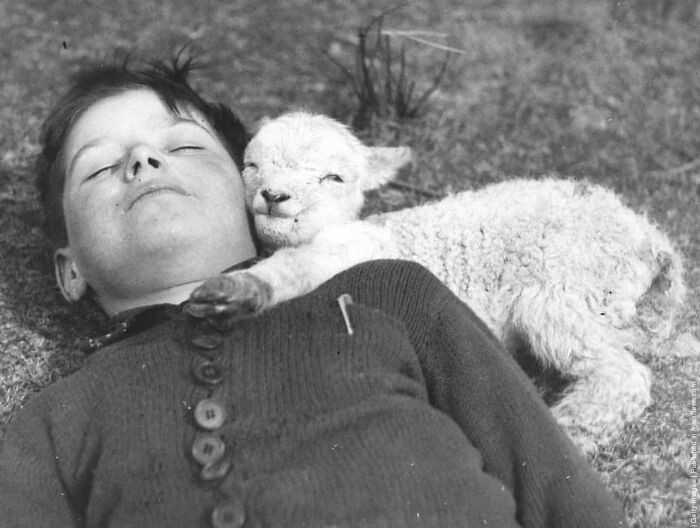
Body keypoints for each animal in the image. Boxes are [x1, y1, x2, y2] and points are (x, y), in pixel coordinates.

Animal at [190, 111, 696, 454]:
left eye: (334, 177)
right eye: (252, 166)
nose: (274, 196)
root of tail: (653, 243)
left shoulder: (348, 253)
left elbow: (290, 272)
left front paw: (234, 292)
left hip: (565, 287)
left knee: (624, 376)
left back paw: (569, 428)